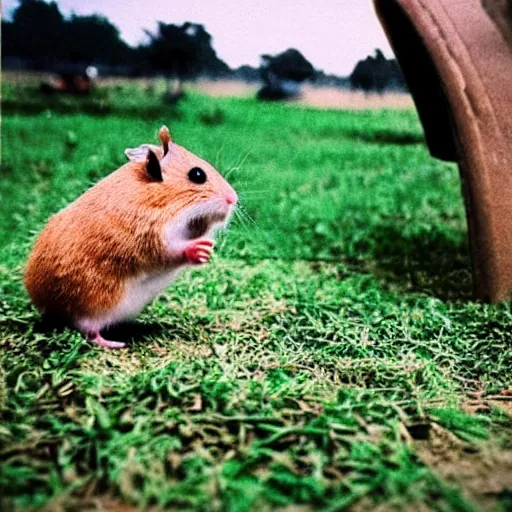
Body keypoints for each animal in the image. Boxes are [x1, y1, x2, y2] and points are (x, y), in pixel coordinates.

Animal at [24, 126, 238, 348]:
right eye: (197, 174)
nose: (234, 198)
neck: (160, 198)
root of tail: (49, 308)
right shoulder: (152, 238)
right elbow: (174, 252)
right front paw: (200, 251)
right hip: (93, 308)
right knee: (89, 332)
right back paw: (114, 343)